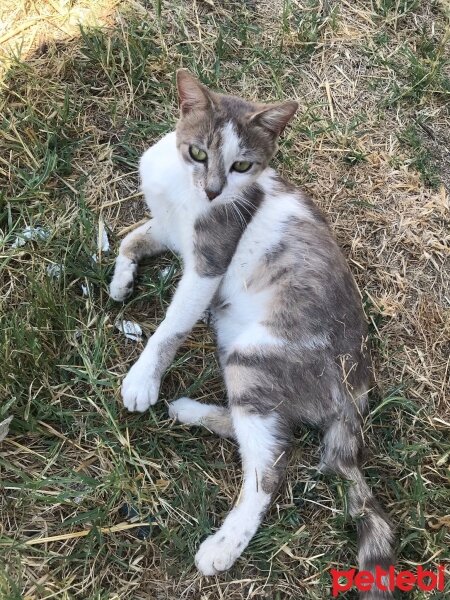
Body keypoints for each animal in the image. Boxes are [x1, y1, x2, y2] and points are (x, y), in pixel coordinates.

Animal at [109, 69, 394, 596]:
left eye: (243, 165)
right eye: (198, 152)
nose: (214, 192)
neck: (183, 191)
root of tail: (355, 395)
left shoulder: (208, 260)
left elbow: (171, 326)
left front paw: (143, 379)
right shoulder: (168, 228)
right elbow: (131, 238)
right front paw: (120, 281)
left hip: (253, 355)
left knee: (270, 469)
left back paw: (223, 546)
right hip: (238, 355)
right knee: (274, 433)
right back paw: (190, 411)